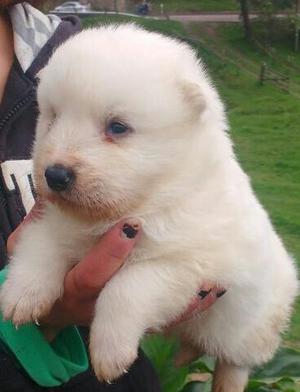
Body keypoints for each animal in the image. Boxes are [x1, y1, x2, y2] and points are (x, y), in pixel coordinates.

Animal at [1, 26, 298, 390]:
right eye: (53, 117)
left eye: (117, 127)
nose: (55, 175)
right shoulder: (53, 222)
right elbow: (38, 248)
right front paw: (20, 297)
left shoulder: (186, 265)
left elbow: (127, 287)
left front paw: (110, 352)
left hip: (249, 325)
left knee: (235, 362)